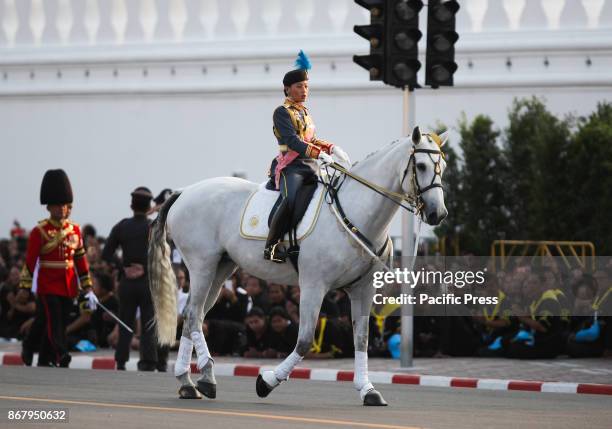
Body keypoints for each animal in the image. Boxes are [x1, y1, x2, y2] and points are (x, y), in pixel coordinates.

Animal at [146, 126, 448, 404]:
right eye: (421, 165)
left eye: (442, 167)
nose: (438, 214)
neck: (356, 213)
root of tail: (185, 191)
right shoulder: (314, 285)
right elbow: (304, 341)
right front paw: (267, 381)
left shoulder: (363, 288)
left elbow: (361, 338)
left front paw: (368, 390)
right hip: (202, 266)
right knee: (193, 315)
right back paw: (206, 376)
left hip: (221, 269)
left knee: (193, 316)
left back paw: (187, 382)